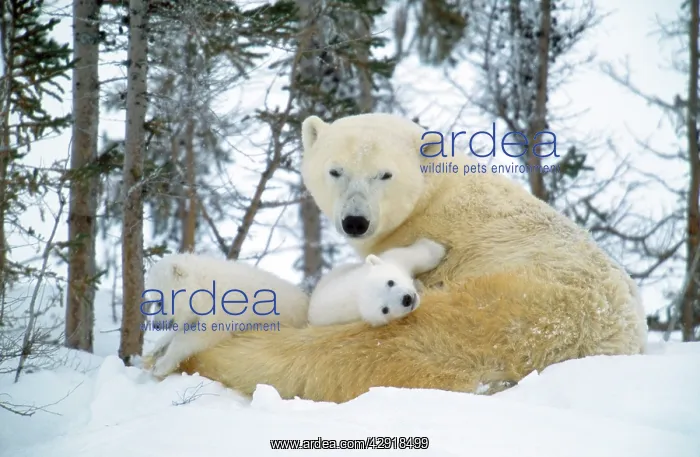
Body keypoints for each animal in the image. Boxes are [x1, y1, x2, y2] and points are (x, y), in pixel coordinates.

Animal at [141, 253, 310, 378]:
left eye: (159, 302)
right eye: (153, 300)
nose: (156, 325)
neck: (206, 288)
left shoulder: (225, 308)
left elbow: (202, 335)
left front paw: (161, 366)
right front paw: (158, 347)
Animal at [308, 238, 446, 327]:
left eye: (390, 282)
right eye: (385, 310)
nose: (406, 299)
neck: (356, 291)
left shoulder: (391, 260)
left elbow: (411, 256)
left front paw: (437, 250)